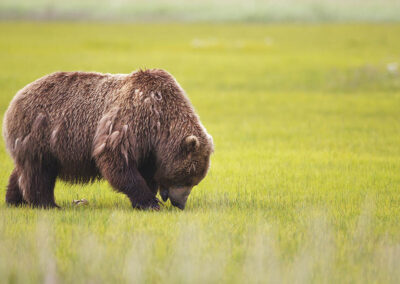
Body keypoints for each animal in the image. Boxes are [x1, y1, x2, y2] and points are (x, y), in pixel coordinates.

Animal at [1, 69, 214, 210]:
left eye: (194, 181)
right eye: (187, 177)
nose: (180, 204)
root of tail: (16, 98)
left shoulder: (149, 148)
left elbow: (146, 171)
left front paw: (148, 197)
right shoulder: (130, 123)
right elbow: (117, 161)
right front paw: (149, 202)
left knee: (24, 170)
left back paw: (13, 200)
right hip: (40, 133)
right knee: (38, 172)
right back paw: (47, 204)